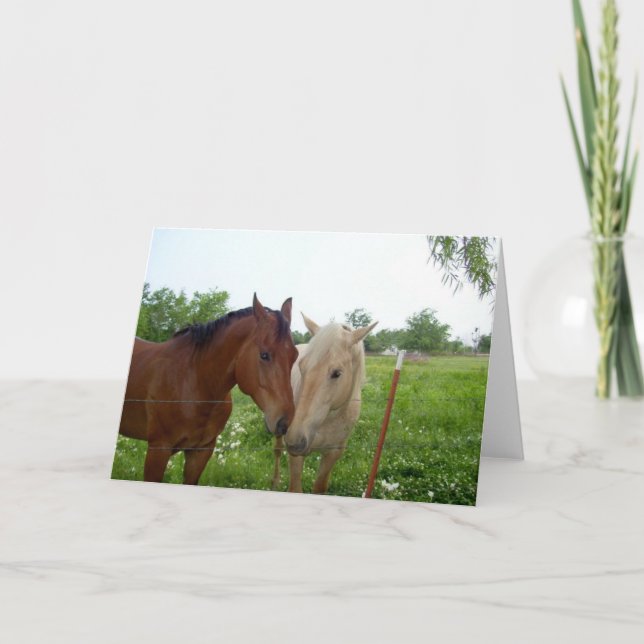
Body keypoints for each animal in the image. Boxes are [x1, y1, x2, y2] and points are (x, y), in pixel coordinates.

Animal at [119, 294, 299, 485]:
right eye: (264, 355)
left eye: (294, 356)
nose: (284, 423)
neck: (196, 383)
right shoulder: (158, 449)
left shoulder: (201, 451)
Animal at [272, 314, 377, 494]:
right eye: (302, 366)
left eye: (337, 373)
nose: (294, 440)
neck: (328, 420)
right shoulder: (296, 457)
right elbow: (295, 489)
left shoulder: (332, 454)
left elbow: (319, 488)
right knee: (277, 450)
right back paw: (275, 481)